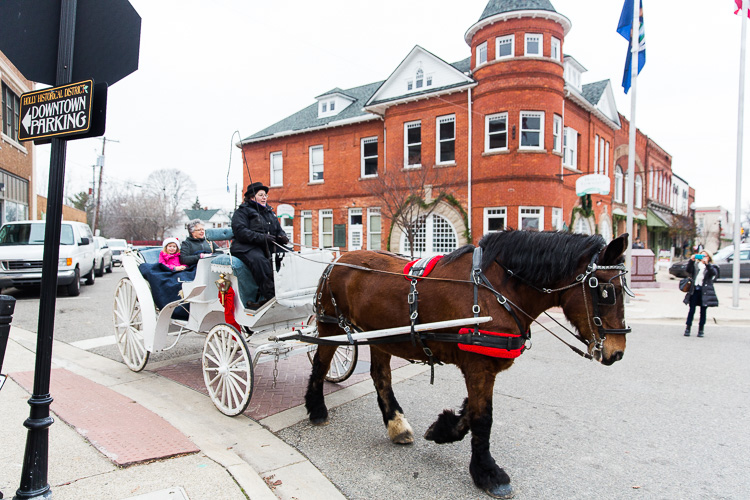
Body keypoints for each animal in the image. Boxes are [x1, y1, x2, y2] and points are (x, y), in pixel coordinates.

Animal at [304, 229, 628, 496]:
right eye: (606, 291)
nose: (617, 352)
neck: (496, 293)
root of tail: (338, 259)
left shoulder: (483, 367)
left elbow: (473, 412)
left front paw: (443, 429)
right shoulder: (479, 366)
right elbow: (483, 417)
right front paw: (489, 473)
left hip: (382, 336)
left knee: (380, 376)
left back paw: (396, 424)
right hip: (330, 326)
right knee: (320, 365)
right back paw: (317, 409)